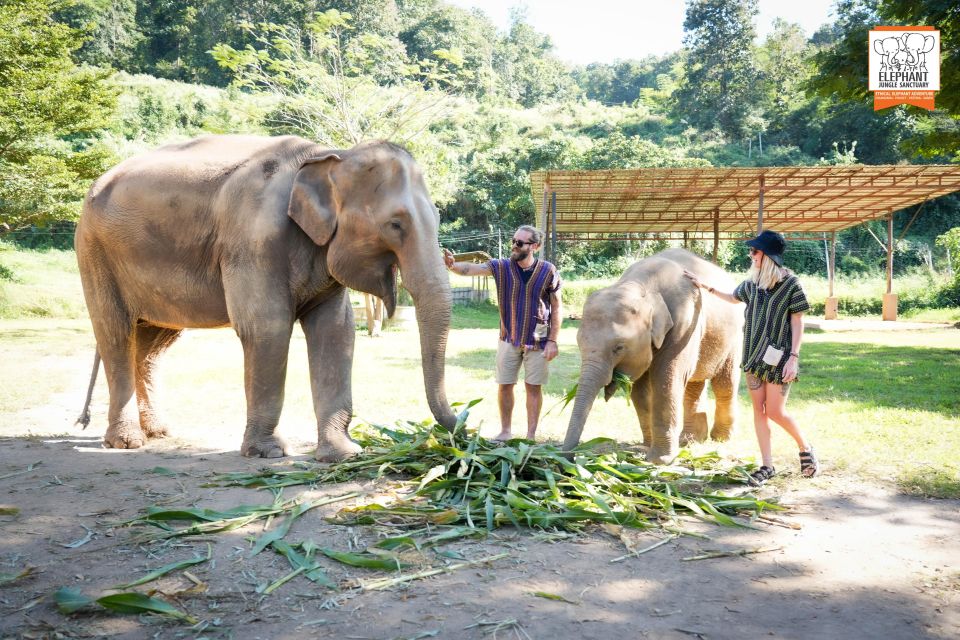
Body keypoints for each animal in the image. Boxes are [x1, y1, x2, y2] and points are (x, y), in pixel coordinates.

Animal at [75, 135, 458, 462]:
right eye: (396, 225)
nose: (461, 430)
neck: (329, 155)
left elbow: (336, 332)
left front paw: (344, 455)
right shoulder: (254, 241)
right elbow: (267, 328)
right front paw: (268, 453)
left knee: (152, 344)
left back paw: (159, 432)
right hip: (94, 251)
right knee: (115, 334)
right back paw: (127, 442)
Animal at [564, 248, 744, 462]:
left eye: (619, 347)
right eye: (579, 343)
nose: (568, 459)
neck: (640, 285)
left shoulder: (683, 324)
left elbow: (666, 380)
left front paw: (659, 460)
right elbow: (639, 390)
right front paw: (647, 449)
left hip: (735, 338)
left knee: (725, 383)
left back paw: (720, 439)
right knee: (694, 384)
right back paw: (691, 440)